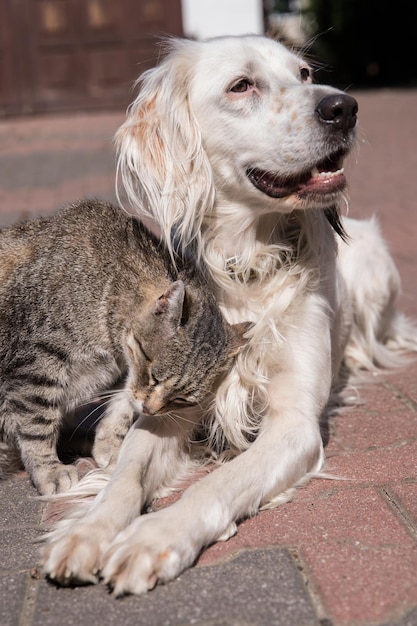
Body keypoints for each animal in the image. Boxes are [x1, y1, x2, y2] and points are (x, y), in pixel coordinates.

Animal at [0, 200, 250, 492]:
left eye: (180, 399)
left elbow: (122, 406)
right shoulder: (37, 364)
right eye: (155, 378)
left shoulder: (125, 372)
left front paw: (110, 444)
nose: (151, 411)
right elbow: (38, 423)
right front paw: (48, 470)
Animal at [40, 35, 414, 596]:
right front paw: (88, 530)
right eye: (242, 85)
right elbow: (127, 473)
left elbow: (218, 483)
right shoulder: (170, 404)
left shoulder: (293, 424)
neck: (247, 267)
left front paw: (154, 537)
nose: (344, 107)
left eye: (304, 74)